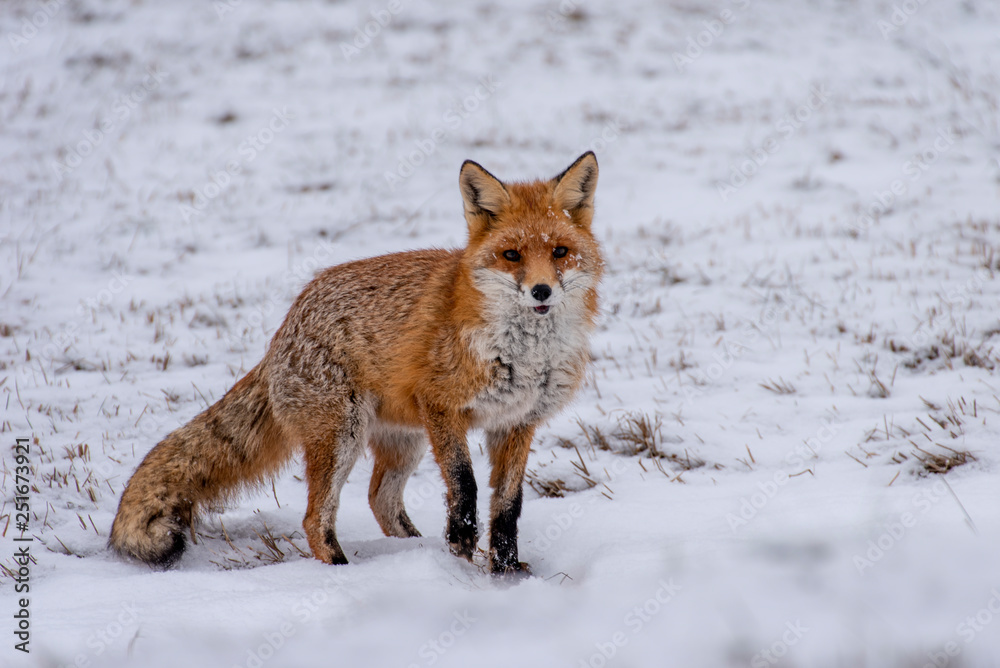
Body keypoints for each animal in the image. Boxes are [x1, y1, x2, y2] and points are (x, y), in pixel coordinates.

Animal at [110, 152, 603, 575]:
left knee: (380, 501)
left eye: (559, 252)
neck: (524, 355)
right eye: (512, 255)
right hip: (342, 436)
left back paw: (414, 550)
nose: (541, 291)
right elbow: (464, 484)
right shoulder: (442, 407)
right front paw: (463, 541)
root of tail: (287, 322)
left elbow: (508, 507)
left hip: (403, 441)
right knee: (316, 518)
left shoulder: (517, 422)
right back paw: (343, 570)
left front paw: (505, 569)